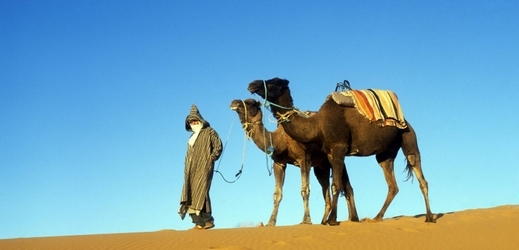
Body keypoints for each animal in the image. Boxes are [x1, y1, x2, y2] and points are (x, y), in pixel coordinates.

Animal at [231, 98, 358, 226]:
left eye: (250, 103)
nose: (234, 102)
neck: (281, 140)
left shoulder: (304, 158)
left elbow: (305, 189)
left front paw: (306, 220)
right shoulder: (279, 163)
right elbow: (277, 194)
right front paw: (270, 222)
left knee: (347, 187)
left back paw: (352, 219)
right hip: (321, 167)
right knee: (327, 191)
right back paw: (325, 221)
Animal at [250, 77, 436, 224]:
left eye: (273, 82)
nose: (252, 84)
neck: (317, 125)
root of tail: (406, 120)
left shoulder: (339, 147)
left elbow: (336, 185)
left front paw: (332, 220)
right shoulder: (330, 153)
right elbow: (339, 185)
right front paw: (334, 219)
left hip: (408, 137)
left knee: (419, 173)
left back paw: (429, 217)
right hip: (386, 154)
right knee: (392, 185)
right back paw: (377, 217)